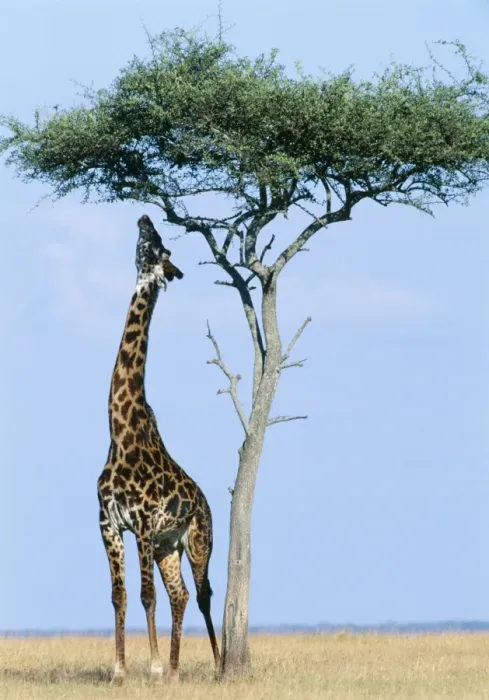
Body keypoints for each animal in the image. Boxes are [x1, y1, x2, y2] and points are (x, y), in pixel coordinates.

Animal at [97, 214, 220, 684]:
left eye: (160, 246)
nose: (145, 217)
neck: (121, 432)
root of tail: (206, 503)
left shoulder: (145, 524)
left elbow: (145, 594)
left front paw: (147, 667)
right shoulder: (109, 524)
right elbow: (119, 594)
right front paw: (119, 670)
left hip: (197, 540)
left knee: (202, 595)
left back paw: (218, 665)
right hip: (171, 546)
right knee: (180, 595)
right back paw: (174, 669)